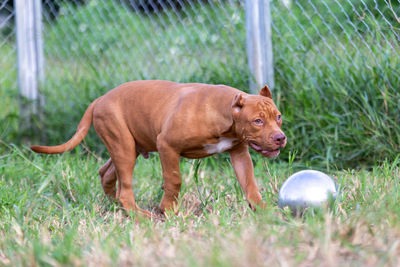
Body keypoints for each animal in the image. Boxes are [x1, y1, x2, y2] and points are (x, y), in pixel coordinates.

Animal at [32, 80, 288, 219]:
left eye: (278, 117)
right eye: (257, 121)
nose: (280, 138)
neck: (223, 112)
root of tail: (100, 99)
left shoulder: (239, 153)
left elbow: (250, 183)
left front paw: (263, 210)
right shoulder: (167, 146)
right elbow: (174, 179)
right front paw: (169, 210)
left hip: (127, 146)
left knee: (106, 174)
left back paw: (116, 206)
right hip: (124, 147)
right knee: (125, 188)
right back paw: (139, 215)